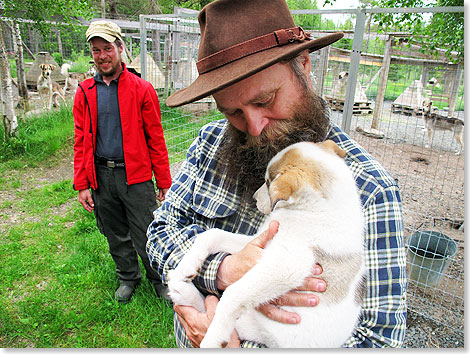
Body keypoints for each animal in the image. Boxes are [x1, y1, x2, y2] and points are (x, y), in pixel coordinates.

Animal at [167, 140, 366, 348]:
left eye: (269, 182)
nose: (254, 198)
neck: (312, 210)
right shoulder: (260, 241)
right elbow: (211, 235)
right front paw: (184, 268)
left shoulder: (286, 265)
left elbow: (233, 293)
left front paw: (212, 339)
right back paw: (181, 289)